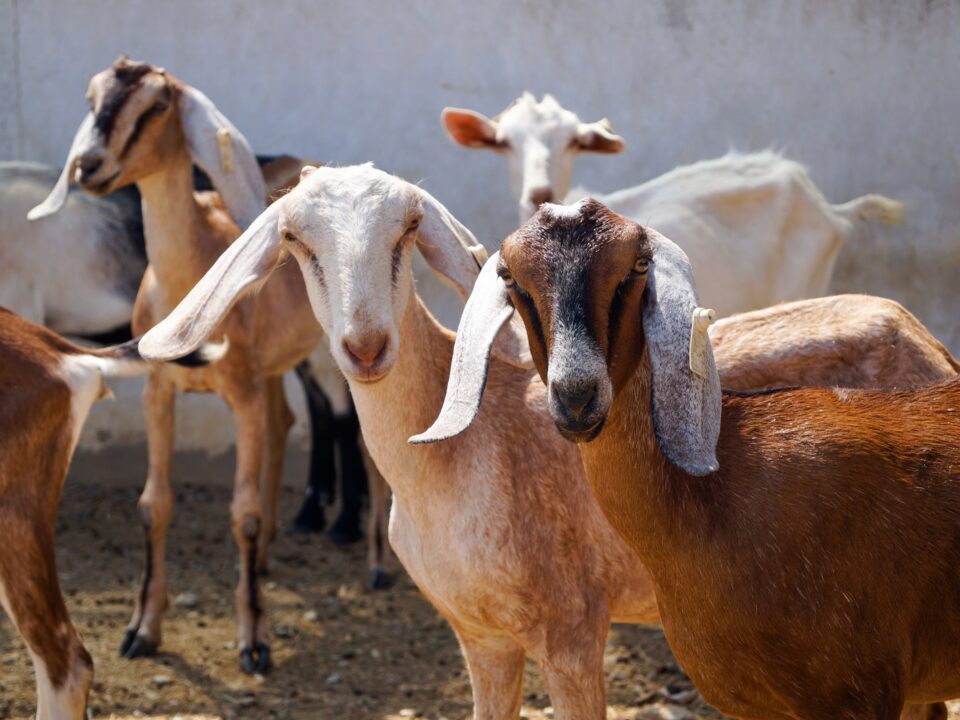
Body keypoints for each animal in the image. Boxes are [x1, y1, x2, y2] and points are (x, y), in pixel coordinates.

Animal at [30, 56, 326, 673]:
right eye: (92, 97)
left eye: (158, 104)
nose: (90, 165)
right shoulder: (157, 392)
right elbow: (153, 504)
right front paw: (142, 630)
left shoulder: (240, 395)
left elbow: (242, 513)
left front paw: (254, 642)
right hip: (270, 372)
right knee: (283, 423)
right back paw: (265, 562)